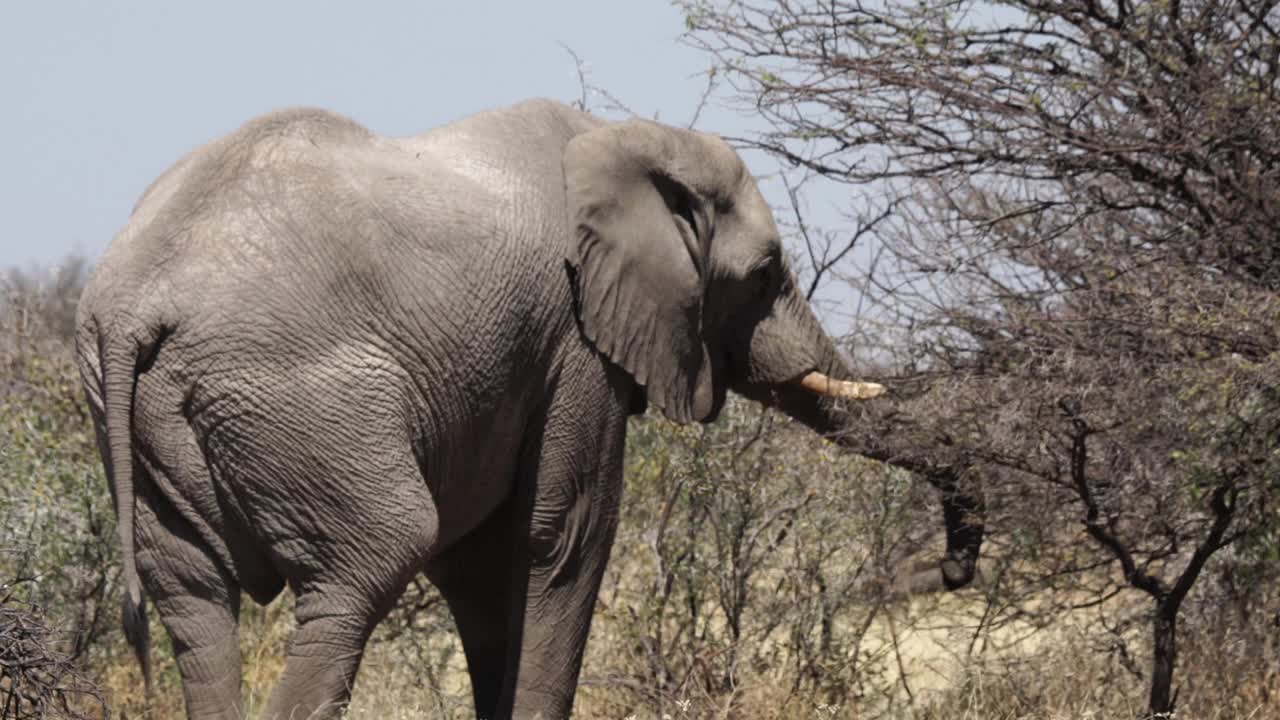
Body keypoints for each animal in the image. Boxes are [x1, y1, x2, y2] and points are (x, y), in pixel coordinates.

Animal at [74, 99, 926, 717]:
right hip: (294, 398)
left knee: (194, 598)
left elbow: (481, 563)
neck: (619, 137)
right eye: (764, 273)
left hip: (147, 420)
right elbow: (565, 535)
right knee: (367, 562)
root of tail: (133, 304)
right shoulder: (573, 339)